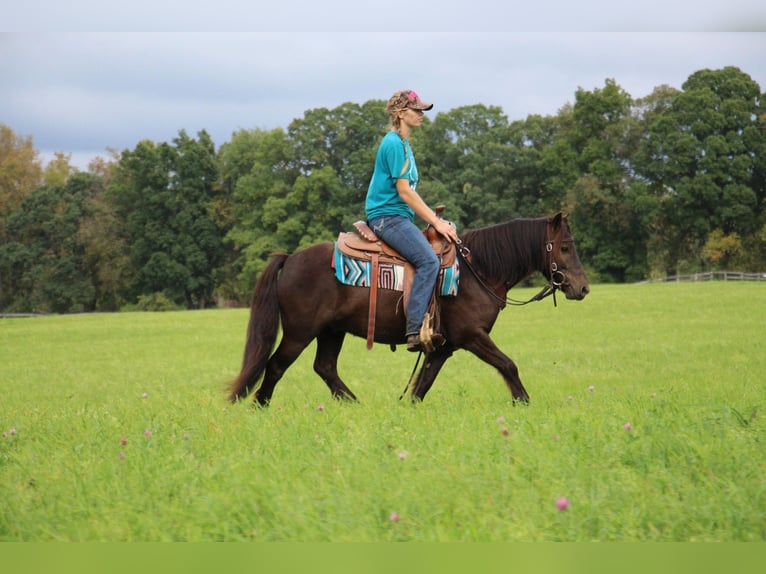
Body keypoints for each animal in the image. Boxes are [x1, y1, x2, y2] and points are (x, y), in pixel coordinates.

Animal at [228, 214, 588, 408]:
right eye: (564, 247)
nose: (583, 287)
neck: (478, 271)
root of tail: (290, 259)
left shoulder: (443, 348)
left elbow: (421, 385)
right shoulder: (472, 336)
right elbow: (508, 365)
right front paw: (523, 402)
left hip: (331, 331)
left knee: (325, 368)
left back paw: (356, 405)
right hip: (300, 332)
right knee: (275, 366)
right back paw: (259, 408)